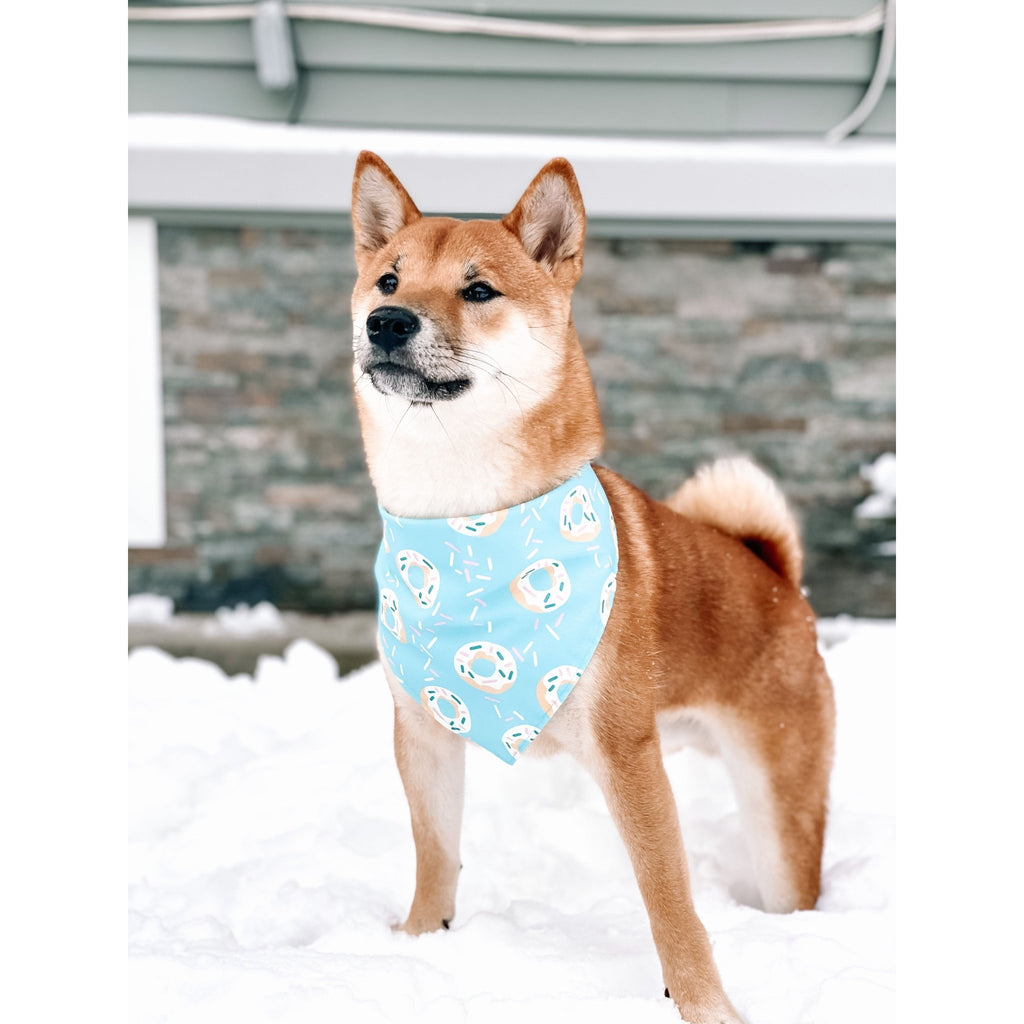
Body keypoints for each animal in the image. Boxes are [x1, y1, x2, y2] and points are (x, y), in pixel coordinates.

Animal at [350, 151, 831, 1024]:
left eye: (478, 290)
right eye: (389, 280)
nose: (388, 324)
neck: (462, 524)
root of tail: (774, 574)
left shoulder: (629, 756)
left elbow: (670, 900)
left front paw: (705, 1005)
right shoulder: (425, 733)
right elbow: (435, 855)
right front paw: (419, 944)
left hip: (783, 816)